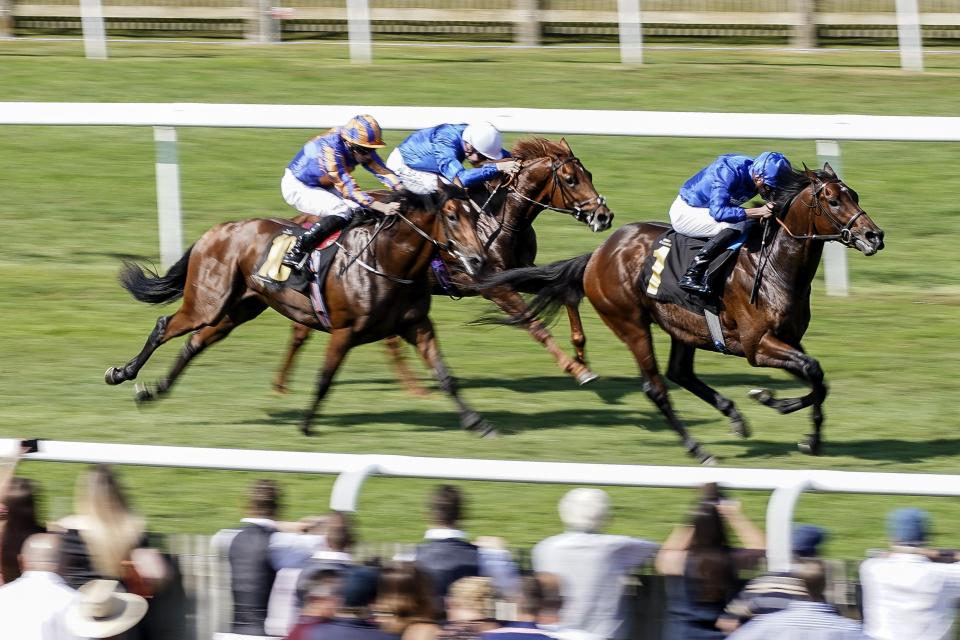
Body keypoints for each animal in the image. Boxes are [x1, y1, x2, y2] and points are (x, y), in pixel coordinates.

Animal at [106, 184, 496, 436]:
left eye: (475, 215)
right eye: (451, 216)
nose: (478, 259)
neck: (385, 259)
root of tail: (216, 231)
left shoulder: (417, 326)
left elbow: (445, 375)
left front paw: (478, 422)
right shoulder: (345, 330)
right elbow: (325, 378)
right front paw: (307, 425)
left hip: (238, 309)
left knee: (194, 344)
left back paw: (154, 391)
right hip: (208, 302)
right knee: (164, 325)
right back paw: (122, 373)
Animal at [270, 138, 616, 392]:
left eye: (589, 175)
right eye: (570, 179)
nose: (604, 216)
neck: (496, 219)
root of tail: (307, 218)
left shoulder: (517, 273)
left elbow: (563, 292)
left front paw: (582, 354)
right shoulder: (491, 285)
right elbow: (534, 324)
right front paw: (576, 369)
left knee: (310, 328)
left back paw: (283, 383)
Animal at [480, 162, 884, 462]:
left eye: (854, 195)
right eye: (832, 200)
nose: (874, 236)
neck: (773, 265)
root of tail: (597, 254)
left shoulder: (788, 339)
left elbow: (818, 378)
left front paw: (804, 433)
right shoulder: (757, 345)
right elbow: (813, 371)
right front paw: (773, 402)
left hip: (683, 327)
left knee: (680, 372)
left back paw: (734, 417)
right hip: (631, 323)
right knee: (656, 387)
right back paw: (697, 448)